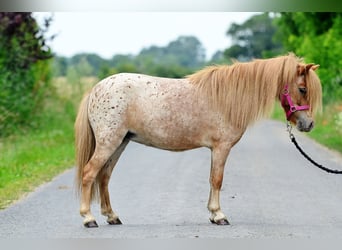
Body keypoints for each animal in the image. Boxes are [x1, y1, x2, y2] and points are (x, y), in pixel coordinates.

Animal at [73, 52, 322, 227]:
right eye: (302, 89)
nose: (308, 124)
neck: (227, 97)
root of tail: (95, 89)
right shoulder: (221, 147)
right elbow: (217, 180)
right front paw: (219, 215)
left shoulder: (215, 149)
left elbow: (212, 179)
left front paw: (213, 214)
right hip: (109, 143)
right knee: (89, 174)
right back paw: (88, 219)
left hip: (120, 143)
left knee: (104, 177)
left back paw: (112, 216)